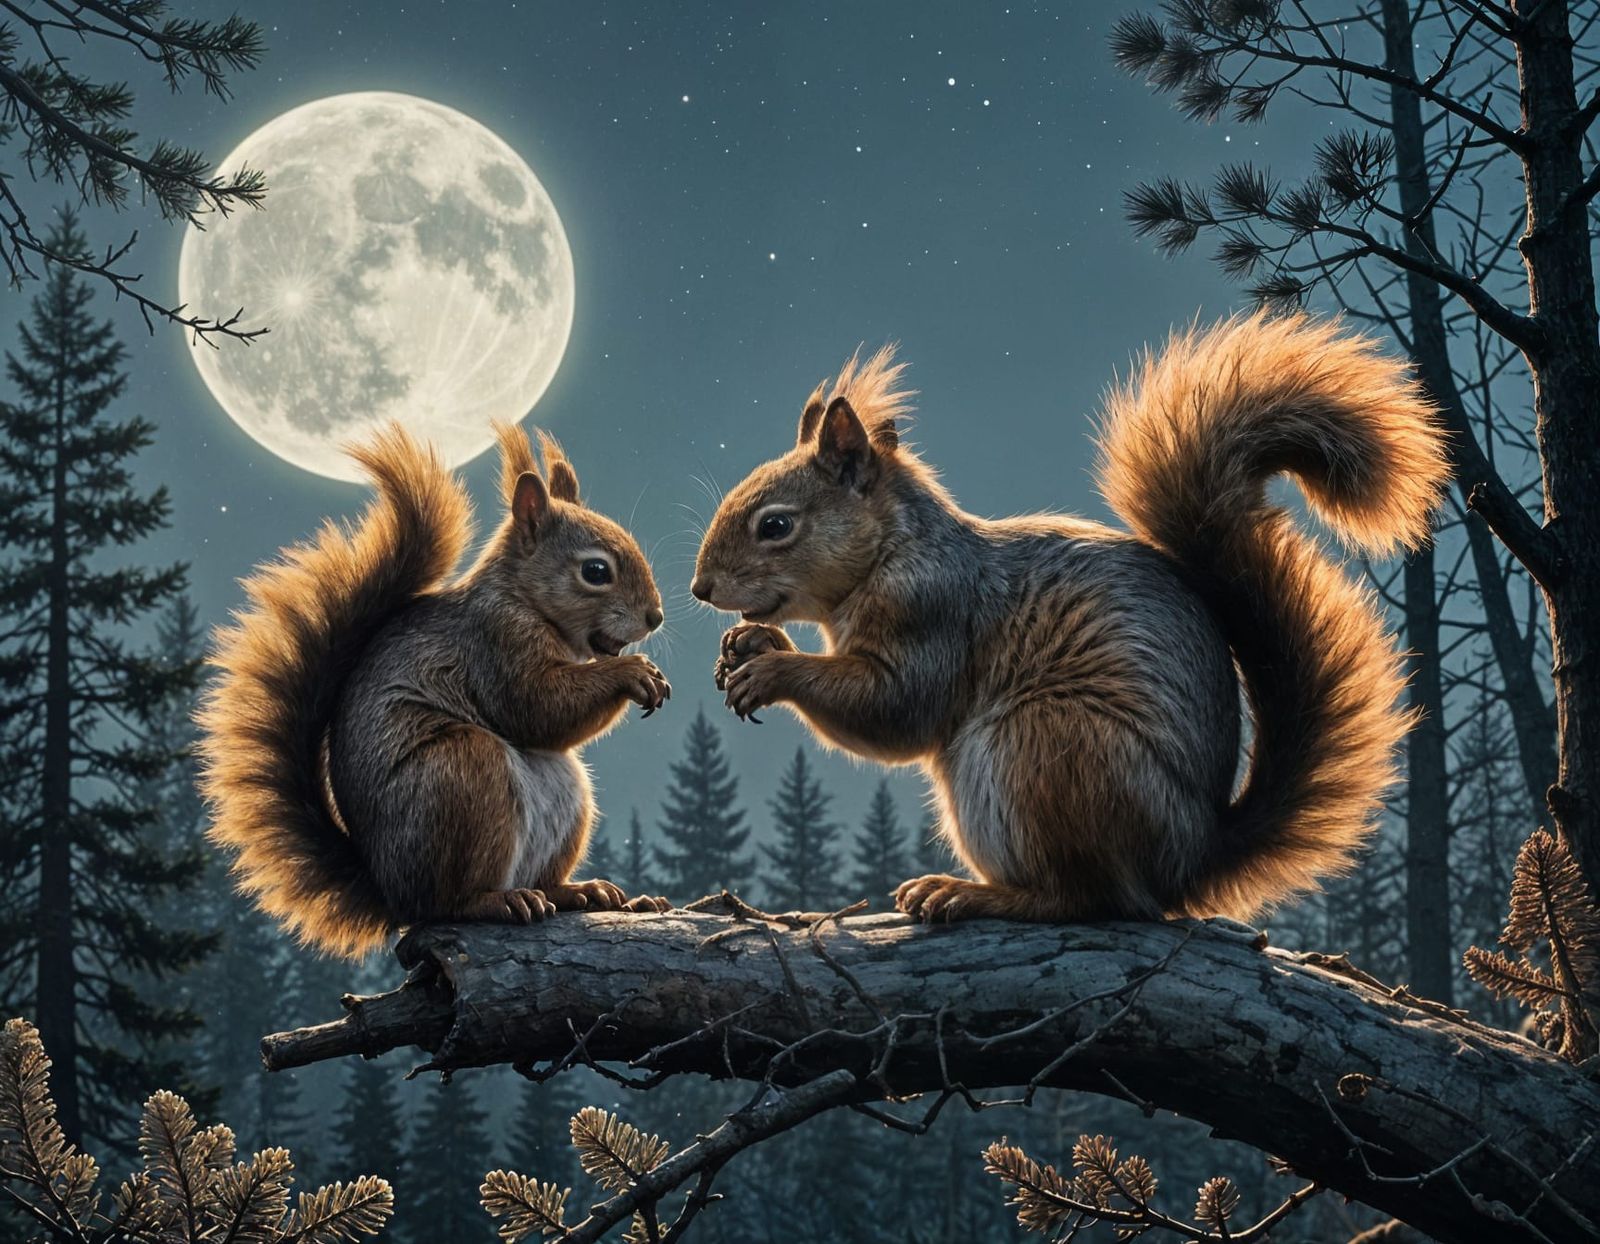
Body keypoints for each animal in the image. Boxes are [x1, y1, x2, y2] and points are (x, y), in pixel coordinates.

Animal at [197, 422, 672, 959]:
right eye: (595, 571)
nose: (654, 617)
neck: (521, 599)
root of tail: (389, 890)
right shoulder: (493, 646)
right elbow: (537, 707)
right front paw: (633, 672)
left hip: (567, 794)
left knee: (543, 881)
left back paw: (579, 892)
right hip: (460, 771)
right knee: (447, 902)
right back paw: (495, 901)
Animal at [692, 312, 1450, 923]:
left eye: (775, 525)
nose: (700, 588)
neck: (892, 553)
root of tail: (1190, 862)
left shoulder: (934, 613)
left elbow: (895, 709)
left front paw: (773, 668)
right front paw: (751, 641)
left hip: (1046, 749)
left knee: (1087, 898)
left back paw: (973, 894)